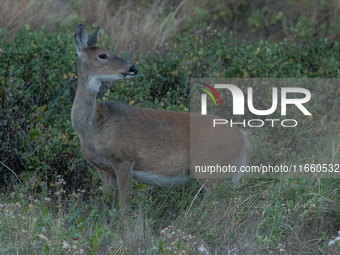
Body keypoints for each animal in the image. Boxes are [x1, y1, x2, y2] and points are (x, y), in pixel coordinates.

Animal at [71, 24, 251, 213]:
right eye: (103, 55)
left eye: (109, 51)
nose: (133, 68)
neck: (93, 125)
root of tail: (244, 139)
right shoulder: (105, 169)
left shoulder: (124, 159)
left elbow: (123, 207)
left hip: (210, 168)